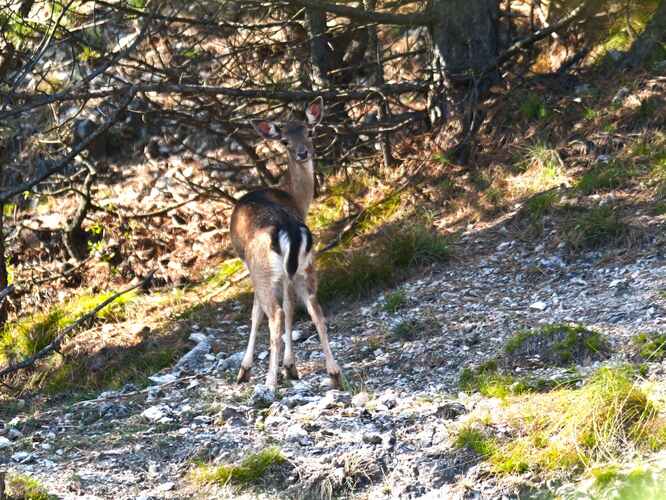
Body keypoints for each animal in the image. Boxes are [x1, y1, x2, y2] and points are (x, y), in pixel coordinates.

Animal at [230, 97, 342, 392]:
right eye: (285, 141)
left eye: (310, 132)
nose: (303, 153)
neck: (293, 197)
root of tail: (289, 228)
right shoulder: (289, 272)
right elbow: (293, 307)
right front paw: (290, 367)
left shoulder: (250, 266)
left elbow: (256, 313)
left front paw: (246, 370)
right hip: (306, 265)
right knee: (315, 308)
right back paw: (334, 373)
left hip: (263, 270)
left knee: (276, 313)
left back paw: (269, 382)